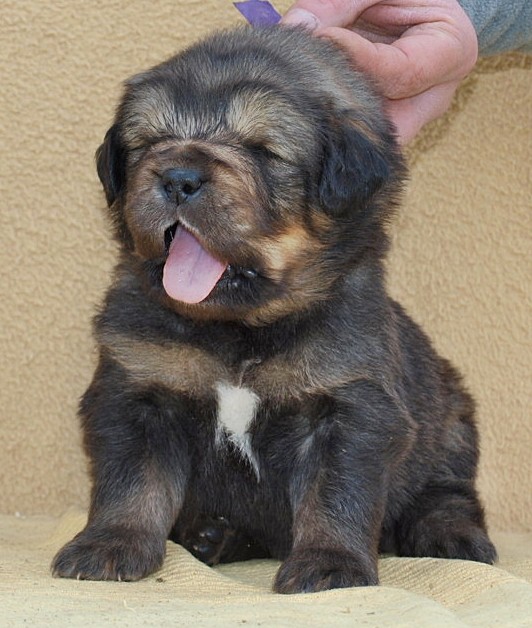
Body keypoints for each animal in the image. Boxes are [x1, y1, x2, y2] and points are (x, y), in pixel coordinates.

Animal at [52, 25, 496, 593]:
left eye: (262, 151)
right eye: (150, 142)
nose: (178, 176)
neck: (239, 332)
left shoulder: (350, 407)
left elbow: (336, 496)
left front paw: (329, 565)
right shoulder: (137, 390)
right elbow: (131, 484)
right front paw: (110, 545)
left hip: (451, 419)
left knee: (447, 494)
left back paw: (451, 536)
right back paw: (211, 537)